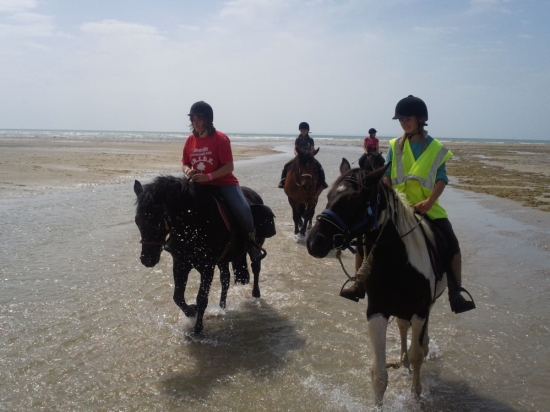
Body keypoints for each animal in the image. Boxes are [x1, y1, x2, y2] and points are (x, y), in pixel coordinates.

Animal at [134, 176, 276, 334]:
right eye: (137, 221)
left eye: (158, 222)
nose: (147, 259)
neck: (194, 223)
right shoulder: (181, 263)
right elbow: (178, 296)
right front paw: (191, 311)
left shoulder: (207, 267)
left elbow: (202, 298)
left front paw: (197, 330)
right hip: (224, 259)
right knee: (225, 280)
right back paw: (222, 307)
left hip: (254, 246)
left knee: (256, 265)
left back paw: (255, 294)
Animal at [308, 162, 450, 408]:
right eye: (328, 196)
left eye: (353, 201)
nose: (314, 241)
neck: (398, 263)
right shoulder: (376, 312)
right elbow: (379, 375)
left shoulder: (420, 312)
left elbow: (418, 356)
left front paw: (416, 396)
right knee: (402, 327)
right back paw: (402, 359)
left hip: (427, 306)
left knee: (420, 341)